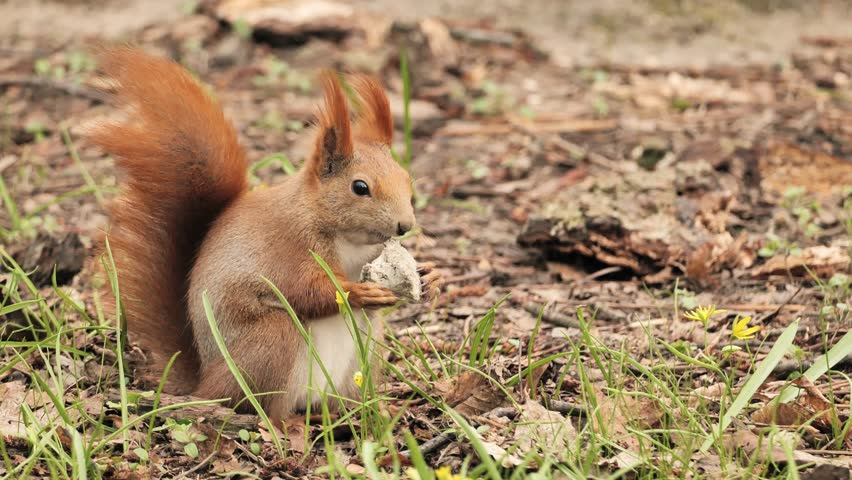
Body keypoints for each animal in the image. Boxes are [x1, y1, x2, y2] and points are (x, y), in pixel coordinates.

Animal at [90, 47, 440, 422]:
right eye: (360, 187)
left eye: (405, 178)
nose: (405, 225)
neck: (346, 237)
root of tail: (205, 381)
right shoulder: (290, 248)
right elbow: (306, 291)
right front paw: (355, 292)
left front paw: (429, 274)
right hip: (272, 340)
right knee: (260, 405)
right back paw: (286, 424)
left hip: (365, 347)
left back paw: (367, 411)